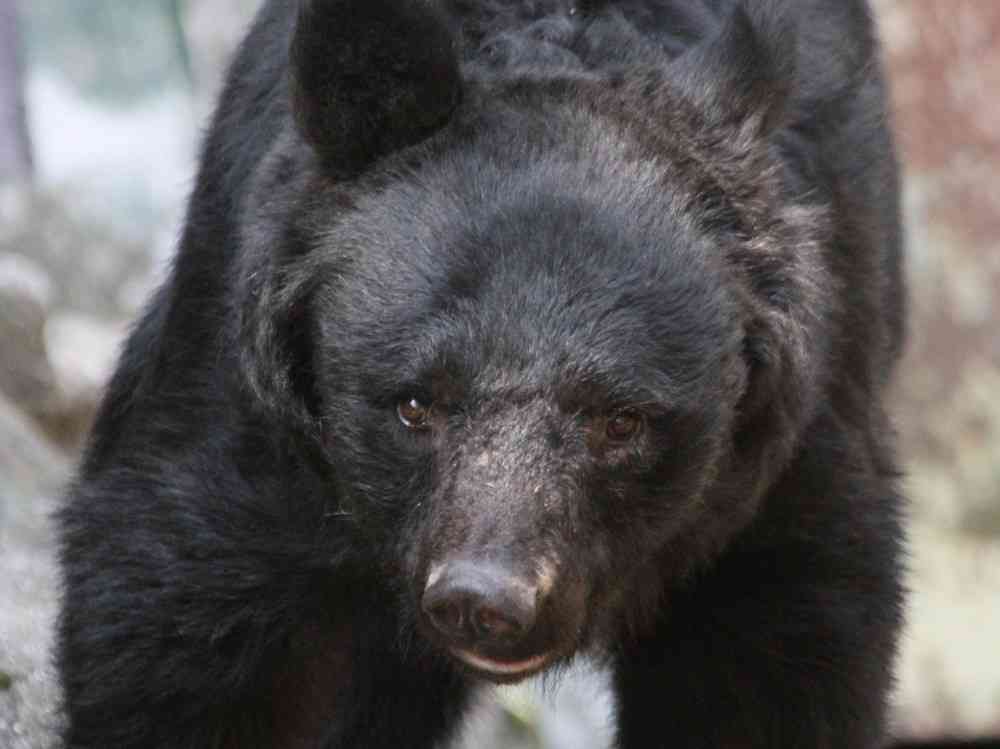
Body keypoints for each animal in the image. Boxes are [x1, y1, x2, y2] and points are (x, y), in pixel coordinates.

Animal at [57, 0, 906, 747]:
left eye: (622, 420)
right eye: (414, 404)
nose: (485, 599)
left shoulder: (792, 444)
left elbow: (777, 658)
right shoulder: (247, 398)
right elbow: (180, 622)